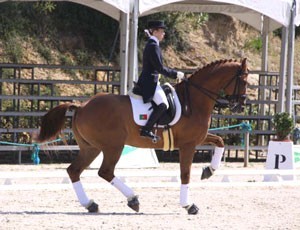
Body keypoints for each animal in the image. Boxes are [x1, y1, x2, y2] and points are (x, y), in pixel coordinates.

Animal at [37, 57, 248, 214]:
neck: (195, 99)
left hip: (91, 147)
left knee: (74, 171)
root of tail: (82, 106)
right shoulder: (188, 145)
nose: (241, 105)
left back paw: (91, 204)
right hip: (113, 147)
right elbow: (185, 173)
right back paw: (133, 200)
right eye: (244, 80)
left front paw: (208, 171)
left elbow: (220, 141)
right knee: (105, 171)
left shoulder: (198, 139)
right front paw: (189, 205)